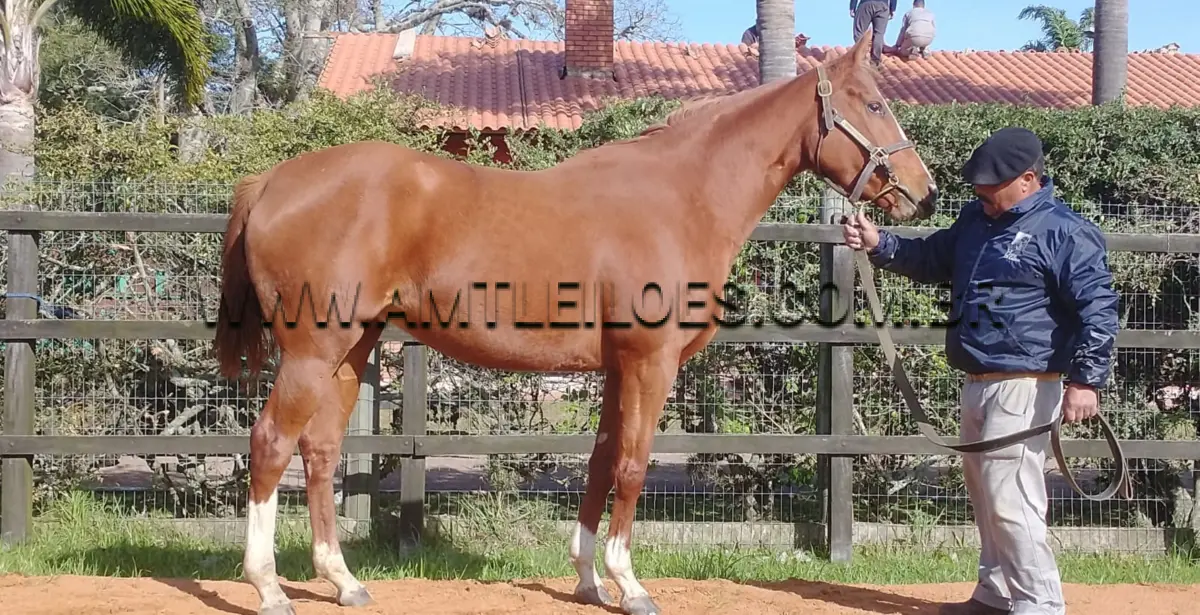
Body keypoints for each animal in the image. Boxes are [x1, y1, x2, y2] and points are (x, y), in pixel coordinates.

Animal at [213, 32, 938, 615]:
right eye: (873, 104)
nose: (924, 192)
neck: (680, 199)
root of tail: (271, 180)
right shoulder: (650, 363)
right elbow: (634, 465)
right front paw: (632, 585)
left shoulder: (619, 369)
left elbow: (600, 461)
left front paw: (590, 580)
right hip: (312, 351)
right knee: (271, 443)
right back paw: (269, 587)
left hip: (350, 349)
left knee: (320, 449)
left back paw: (343, 581)